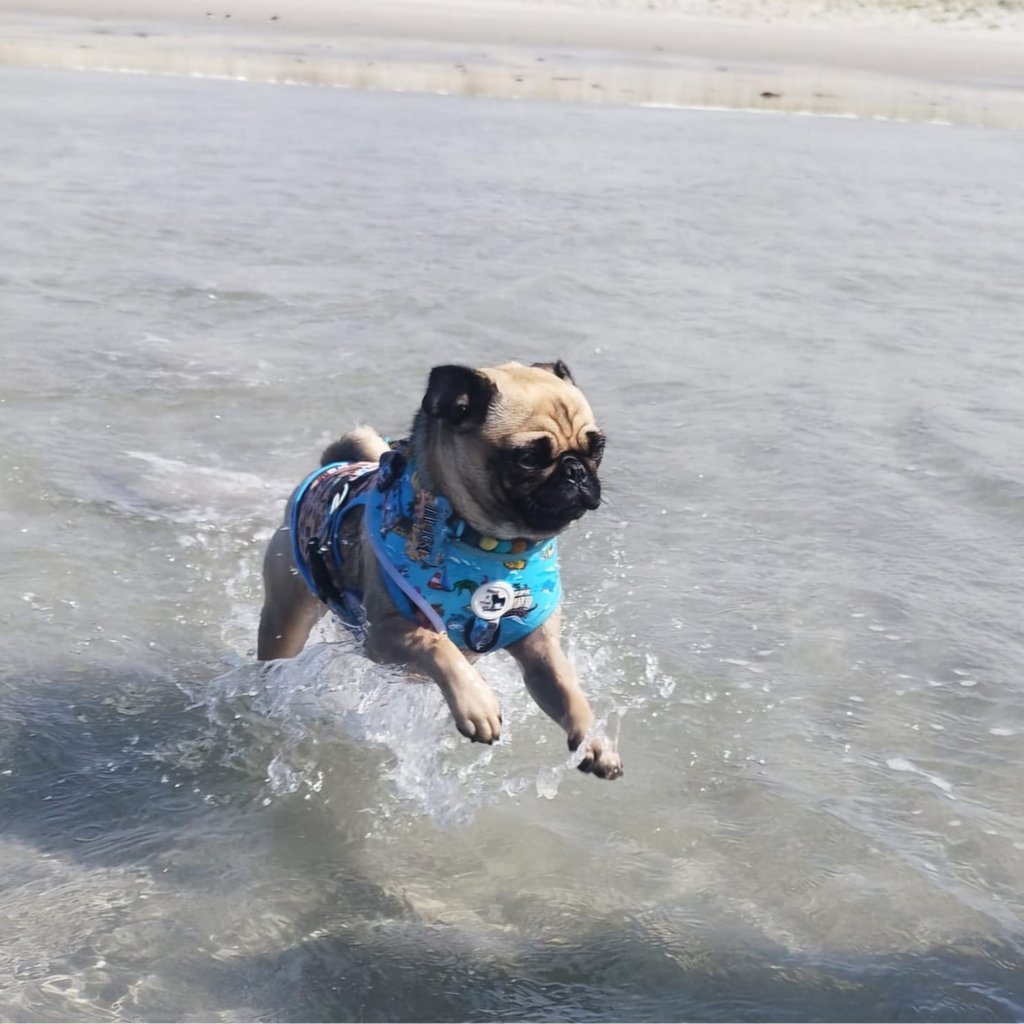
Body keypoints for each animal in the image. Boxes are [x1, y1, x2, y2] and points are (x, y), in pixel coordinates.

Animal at [257, 361, 622, 780]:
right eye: (528, 458)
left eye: (597, 448)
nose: (575, 469)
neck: (490, 545)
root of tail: (333, 466)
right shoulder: (381, 637)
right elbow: (435, 644)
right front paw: (476, 701)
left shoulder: (539, 651)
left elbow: (569, 689)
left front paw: (595, 740)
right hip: (287, 616)